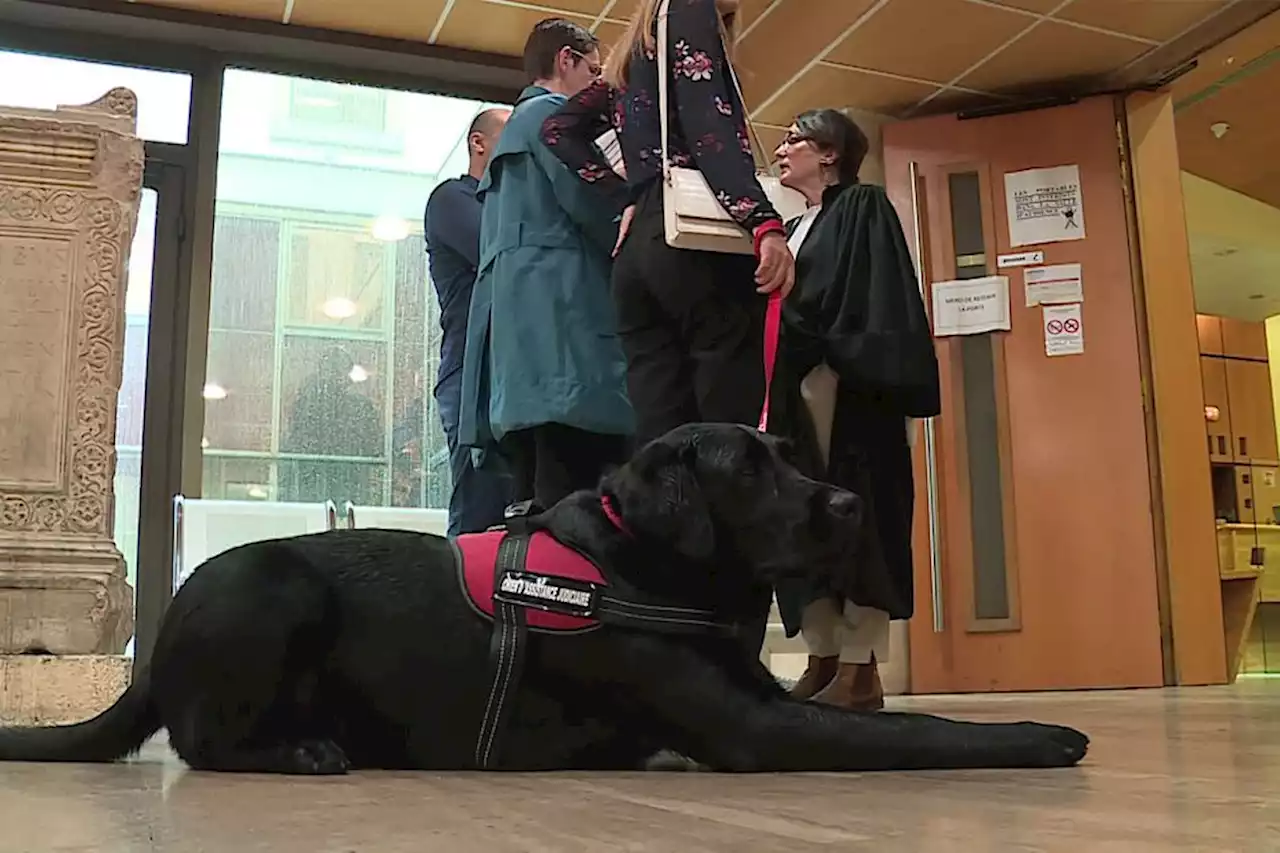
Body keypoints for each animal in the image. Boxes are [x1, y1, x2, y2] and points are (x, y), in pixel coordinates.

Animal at [0, 422, 1085, 773]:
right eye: (748, 470)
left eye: (785, 452)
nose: (851, 502)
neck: (644, 566)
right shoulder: (757, 727)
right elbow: (915, 727)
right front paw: (1039, 733)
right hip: (273, 584)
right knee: (198, 738)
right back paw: (302, 750)